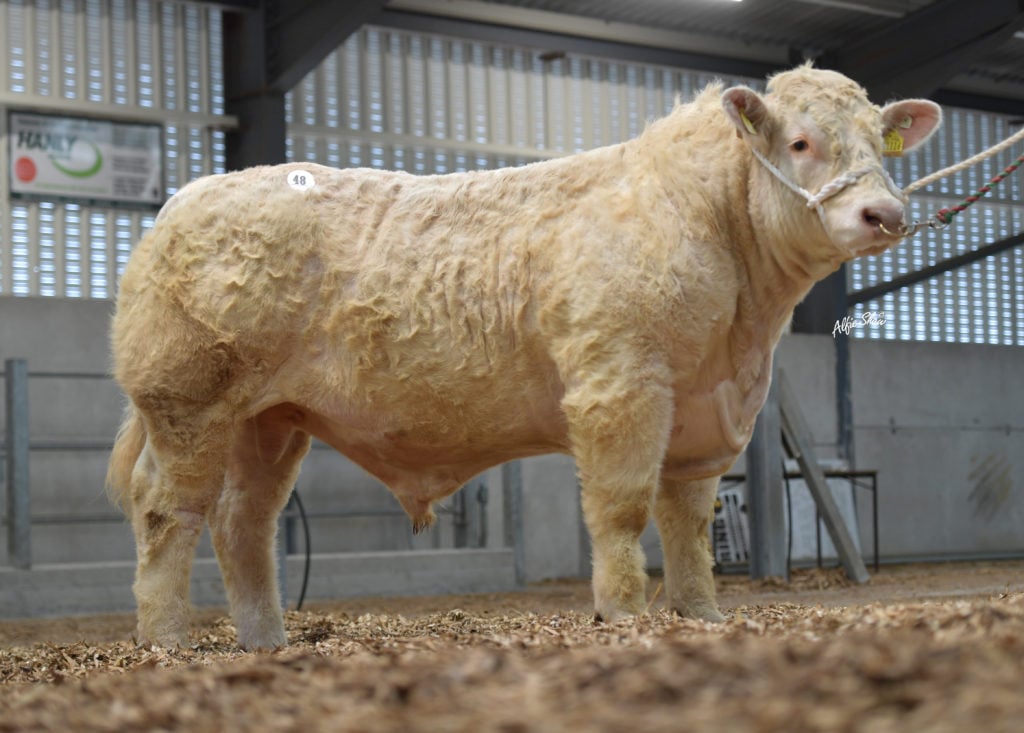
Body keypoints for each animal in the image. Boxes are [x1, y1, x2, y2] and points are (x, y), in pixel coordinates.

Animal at [107, 64, 940, 650]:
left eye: (881, 142)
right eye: (801, 143)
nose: (885, 214)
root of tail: (184, 201)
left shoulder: (707, 414)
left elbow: (690, 526)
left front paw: (699, 616)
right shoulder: (619, 382)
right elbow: (621, 509)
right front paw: (623, 615)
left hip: (271, 419)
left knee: (244, 522)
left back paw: (265, 642)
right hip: (189, 403)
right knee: (167, 511)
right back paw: (168, 641)